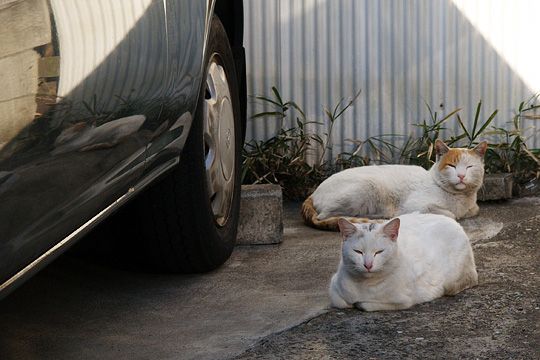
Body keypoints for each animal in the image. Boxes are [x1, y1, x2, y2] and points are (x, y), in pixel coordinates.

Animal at [302, 139, 488, 229]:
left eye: (470, 167)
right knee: (326, 216)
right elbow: (450, 215)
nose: (461, 176)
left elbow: (474, 210)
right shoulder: (416, 206)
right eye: (452, 166)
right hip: (367, 185)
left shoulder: (473, 208)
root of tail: (313, 192)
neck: (460, 198)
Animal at [330, 212, 476, 310]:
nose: (368, 265)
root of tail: (453, 221)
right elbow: (341, 303)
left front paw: (358, 304)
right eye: (358, 252)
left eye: (379, 252)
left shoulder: (403, 301)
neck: (365, 285)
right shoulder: (334, 289)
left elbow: (365, 304)